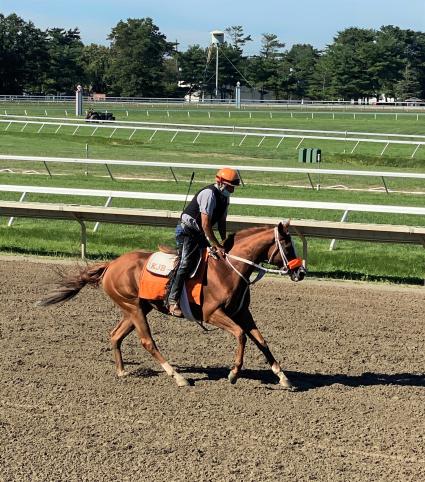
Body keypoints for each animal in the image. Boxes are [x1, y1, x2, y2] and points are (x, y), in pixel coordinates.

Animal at [38, 220, 304, 390]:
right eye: (287, 246)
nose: (300, 272)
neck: (228, 269)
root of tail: (111, 264)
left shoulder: (242, 312)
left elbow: (261, 341)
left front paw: (284, 378)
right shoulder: (212, 313)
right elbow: (240, 335)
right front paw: (234, 373)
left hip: (137, 308)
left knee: (115, 335)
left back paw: (122, 371)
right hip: (133, 307)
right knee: (147, 342)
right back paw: (178, 377)